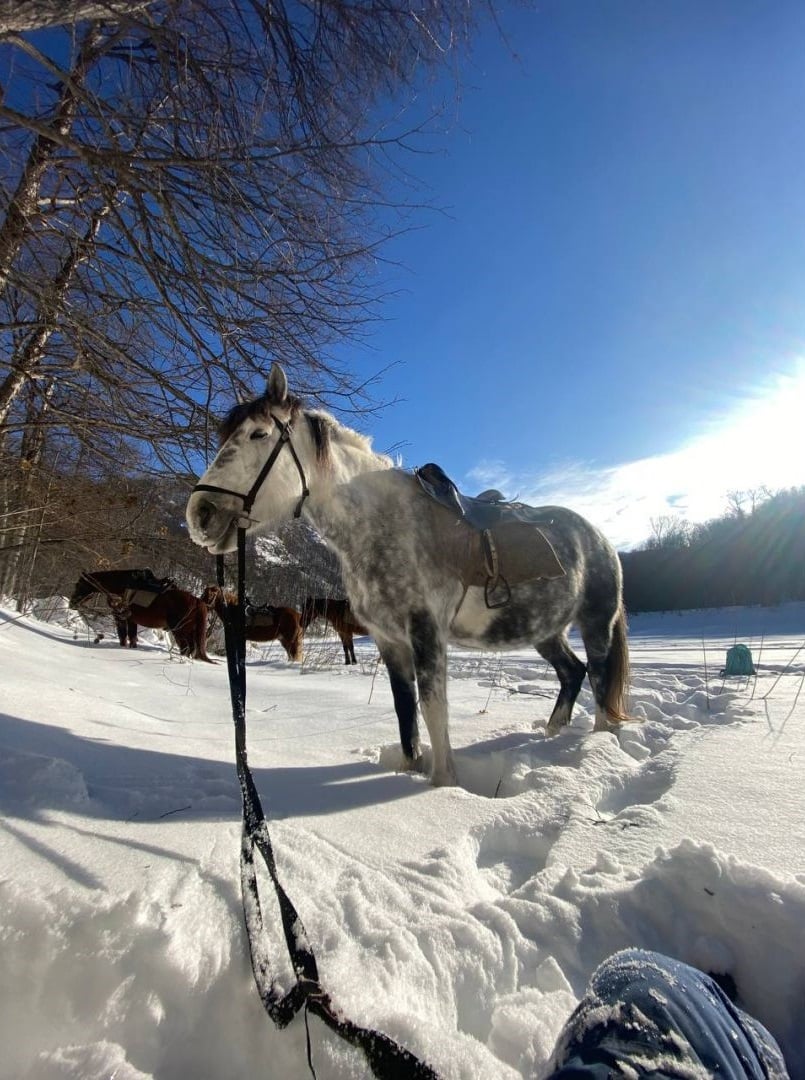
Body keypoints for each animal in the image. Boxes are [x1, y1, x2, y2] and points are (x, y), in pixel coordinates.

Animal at [70, 570, 213, 660]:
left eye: (79, 585)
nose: (72, 603)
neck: (122, 587)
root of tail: (197, 601)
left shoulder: (120, 617)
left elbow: (123, 636)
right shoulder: (131, 620)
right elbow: (132, 638)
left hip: (180, 631)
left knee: (186, 649)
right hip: (188, 631)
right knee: (190, 649)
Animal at [184, 362, 631, 786]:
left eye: (258, 434)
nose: (200, 515)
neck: (383, 526)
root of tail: (600, 539)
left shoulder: (426, 633)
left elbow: (434, 711)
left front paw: (443, 783)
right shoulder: (389, 640)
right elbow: (405, 713)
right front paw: (411, 770)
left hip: (596, 625)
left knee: (599, 681)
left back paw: (598, 745)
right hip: (546, 632)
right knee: (572, 673)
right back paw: (552, 736)